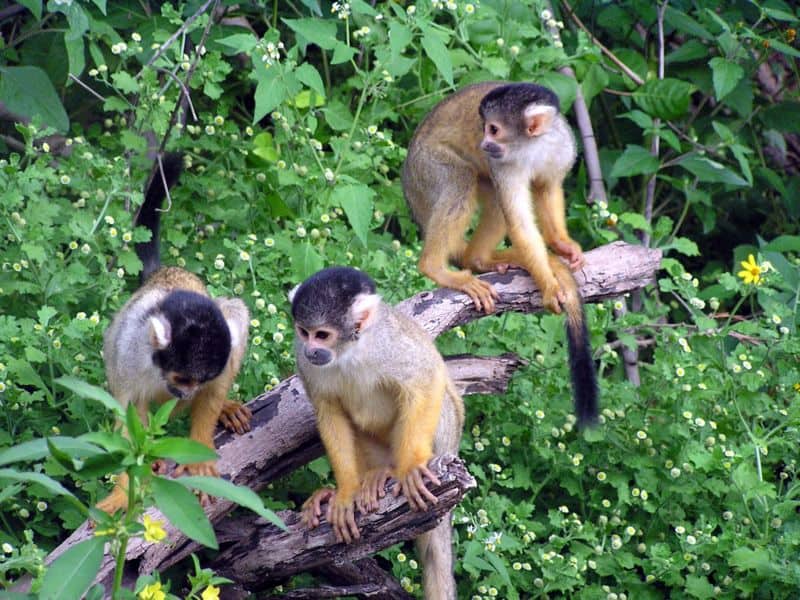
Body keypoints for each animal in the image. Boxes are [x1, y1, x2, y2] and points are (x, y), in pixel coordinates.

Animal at [97, 154, 253, 510]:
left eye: (199, 380)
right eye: (182, 378)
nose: (186, 394)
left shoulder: (221, 355)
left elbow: (218, 382)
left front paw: (200, 455)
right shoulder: (129, 350)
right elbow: (127, 411)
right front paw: (122, 492)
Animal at [290, 268, 462, 600]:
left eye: (322, 335)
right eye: (304, 331)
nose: (310, 349)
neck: (349, 350)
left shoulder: (389, 343)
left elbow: (425, 378)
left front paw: (411, 467)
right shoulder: (305, 363)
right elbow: (329, 413)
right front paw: (345, 491)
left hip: (445, 441)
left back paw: (393, 472)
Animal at [404, 82, 596, 426]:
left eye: (493, 129)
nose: (483, 143)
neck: (534, 147)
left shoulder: (562, 148)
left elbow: (547, 189)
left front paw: (562, 245)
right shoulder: (504, 163)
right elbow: (519, 221)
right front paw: (549, 284)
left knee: (488, 193)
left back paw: (479, 260)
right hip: (426, 169)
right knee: (461, 182)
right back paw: (435, 267)